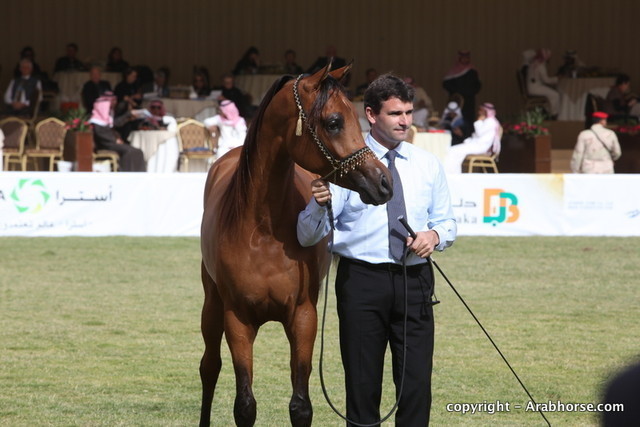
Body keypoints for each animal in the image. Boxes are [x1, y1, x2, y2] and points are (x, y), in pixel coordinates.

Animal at [199, 62, 392, 426]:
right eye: (334, 122)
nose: (384, 182)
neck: (262, 230)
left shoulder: (303, 316)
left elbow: (300, 405)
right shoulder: (237, 319)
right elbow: (244, 404)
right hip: (212, 303)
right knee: (209, 367)